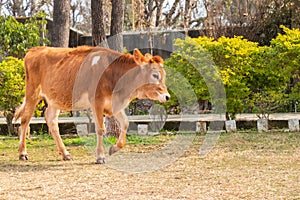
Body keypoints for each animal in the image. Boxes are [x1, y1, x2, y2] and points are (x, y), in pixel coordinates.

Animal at [14, 45, 170, 164]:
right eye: (155, 75)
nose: (167, 96)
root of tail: (35, 49)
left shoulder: (113, 103)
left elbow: (125, 123)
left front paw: (114, 148)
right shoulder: (97, 101)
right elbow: (100, 129)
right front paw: (100, 157)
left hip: (55, 99)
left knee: (51, 121)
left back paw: (65, 153)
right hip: (33, 92)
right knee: (25, 119)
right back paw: (22, 153)